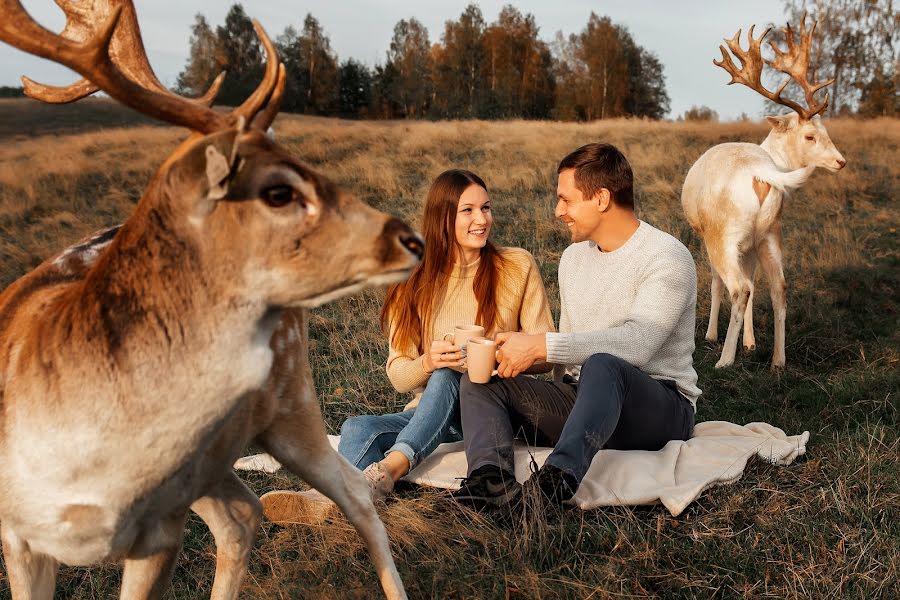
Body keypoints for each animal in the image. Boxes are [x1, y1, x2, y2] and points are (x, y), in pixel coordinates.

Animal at [0, 2, 422, 596]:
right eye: (278, 190)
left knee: (346, 495)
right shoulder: (16, 533)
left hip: (291, 401)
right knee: (243, 513)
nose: (411, 238)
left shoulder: (160, 527)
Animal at [684, 14, 848, 368]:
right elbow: (760, 283)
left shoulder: (706, 233)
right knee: (779, 287)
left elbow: (716, 282)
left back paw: (724, 360)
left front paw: (713, 337)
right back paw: (778, 360)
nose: (841, 161)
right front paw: (750, 343)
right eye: (812, 135)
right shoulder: (754, 241)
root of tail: (764, 173)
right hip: (771, 231)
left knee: (739, 287)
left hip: (724, 234)